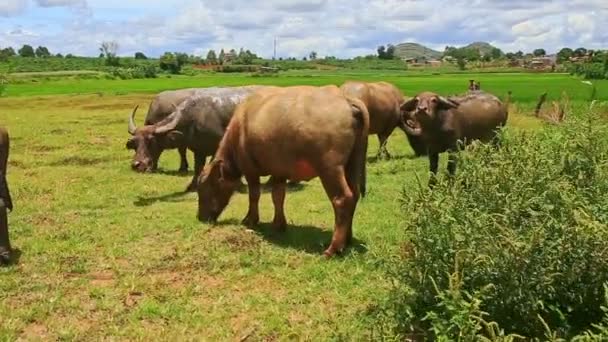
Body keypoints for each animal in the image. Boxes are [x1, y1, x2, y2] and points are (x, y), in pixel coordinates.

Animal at [127, 85, 268, 192]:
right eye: (135, 144)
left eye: (151, 141)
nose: (136, 164)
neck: (195, 118)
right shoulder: (198, 150)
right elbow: (197, 167)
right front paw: (192, 185)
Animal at [197, 85, 368, 256]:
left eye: (206, 189)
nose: (200, 217)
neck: (239, 130)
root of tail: (346, 100)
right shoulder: (279, 172)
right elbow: (278, 196)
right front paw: (279, 224)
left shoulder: (250, 170)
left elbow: (254, 196)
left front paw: (250, 220)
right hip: (353, 163)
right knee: (354, 194)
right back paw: (347, 240)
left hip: (330, 168)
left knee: (342, 199)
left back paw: (333, 248)